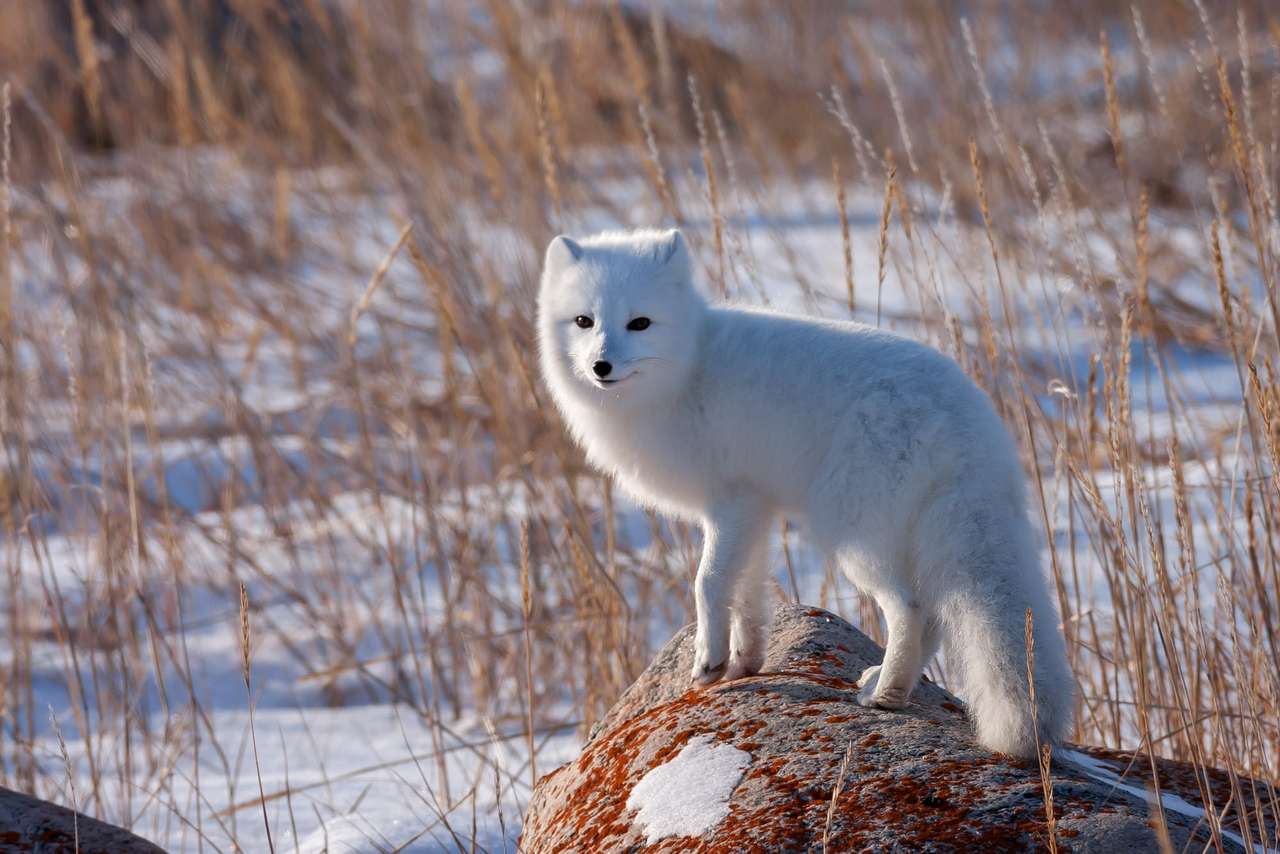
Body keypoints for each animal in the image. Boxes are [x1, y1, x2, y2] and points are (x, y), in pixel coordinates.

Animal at [535, 229, 1075, 763]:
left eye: (640, 323)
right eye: (584, 321)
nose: (601, 366)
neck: (688, 368)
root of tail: (972, 421)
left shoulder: (731, 502)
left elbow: (708, 583)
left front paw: (709, 663)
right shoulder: (755, 509)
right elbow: (748, 594)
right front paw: (745, 663)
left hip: (852, 533)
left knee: (911, 608)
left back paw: (886, 694)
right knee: (934, 617)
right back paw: (884, 680)